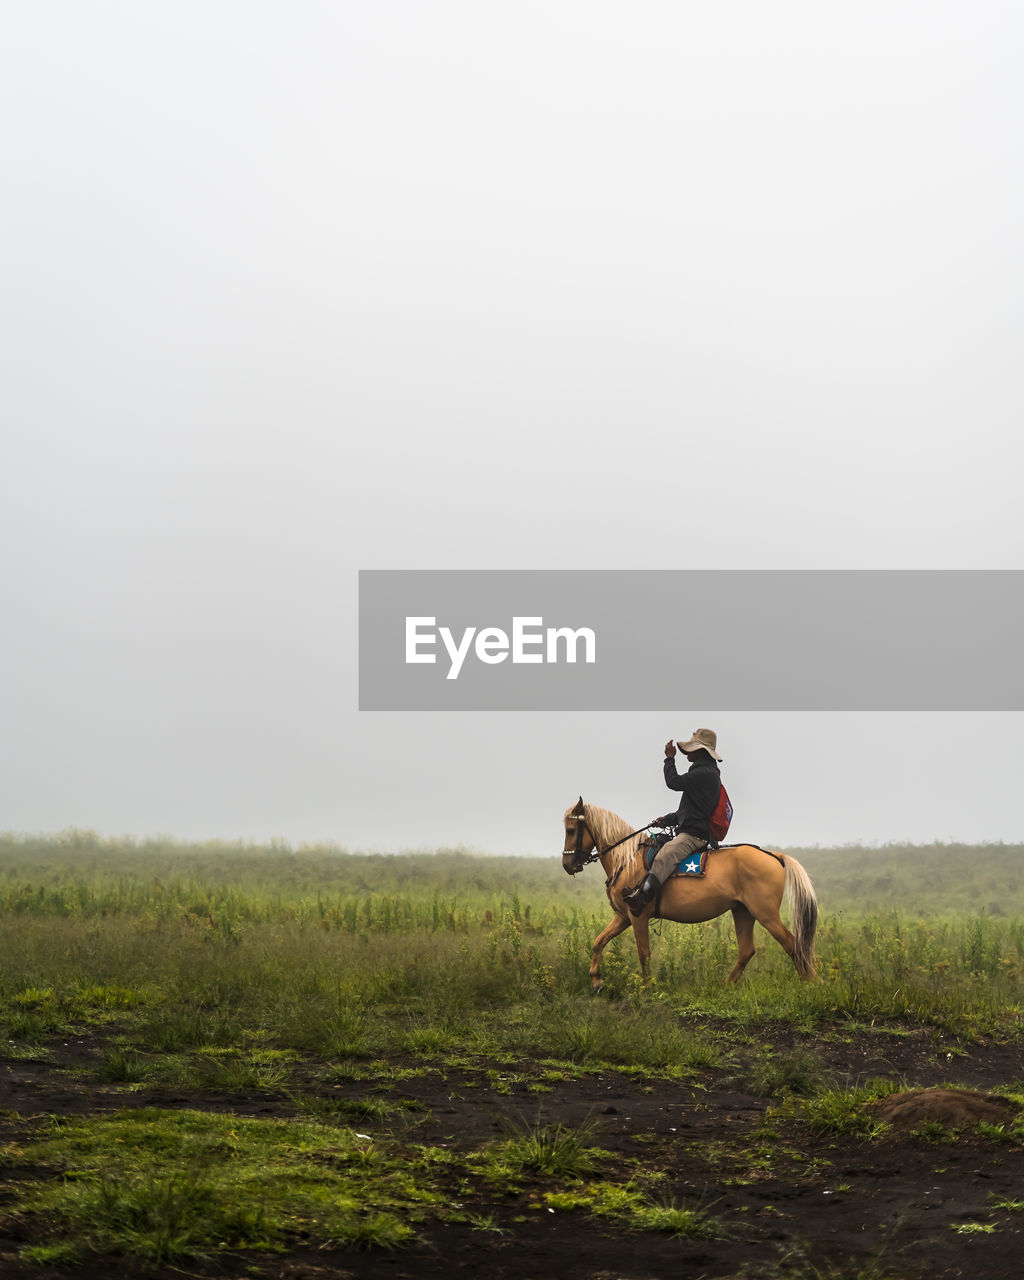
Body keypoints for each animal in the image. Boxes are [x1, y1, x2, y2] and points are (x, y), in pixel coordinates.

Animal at [560, 798, 814, 988]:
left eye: (571, 830)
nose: (567, 865)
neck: (627, 860)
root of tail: (773, 856)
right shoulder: (623, 917)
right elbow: (599, 941)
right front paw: (596, 980)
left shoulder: (637, 916)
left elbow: (643, 952)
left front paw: (647, 987)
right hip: (743, 911)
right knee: (746, 951)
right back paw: (726, 985)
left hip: (765, 913)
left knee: (792, 944)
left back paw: (810, 982)